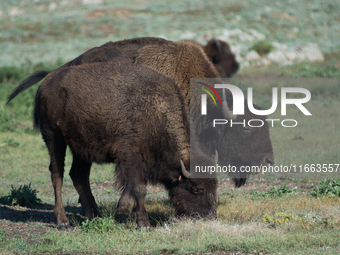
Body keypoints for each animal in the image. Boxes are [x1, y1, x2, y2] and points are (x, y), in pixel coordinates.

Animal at [31, 61, 218, 229]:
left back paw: (96, 216)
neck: (156, 111)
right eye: (195, 189)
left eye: (214, 187)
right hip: (54, 138)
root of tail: (48, 80)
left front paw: (121, 212)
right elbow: (139, 188)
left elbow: (132, 187)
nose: (209, 217)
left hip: (82, 148)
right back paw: (62, 222)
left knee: (79, 176)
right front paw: (143, 224)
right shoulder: (131, 153)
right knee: (57, 175)